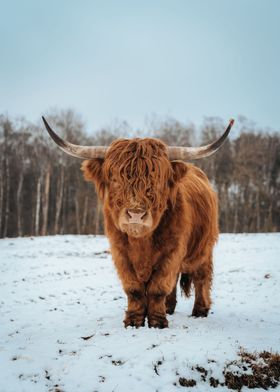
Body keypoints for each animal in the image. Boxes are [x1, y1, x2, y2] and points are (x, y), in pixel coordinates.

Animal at [42, 116, 234, 328]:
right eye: (115, 180)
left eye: (157, 181)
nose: (135, 214)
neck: (142, 243)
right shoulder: (120, 252)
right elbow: (133, 288)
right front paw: (134, 320)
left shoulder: (172, 251)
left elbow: (158, 286)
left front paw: (157, 321)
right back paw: (169, 307)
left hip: (203, 248)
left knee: (202, 276)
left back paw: (200, 310)